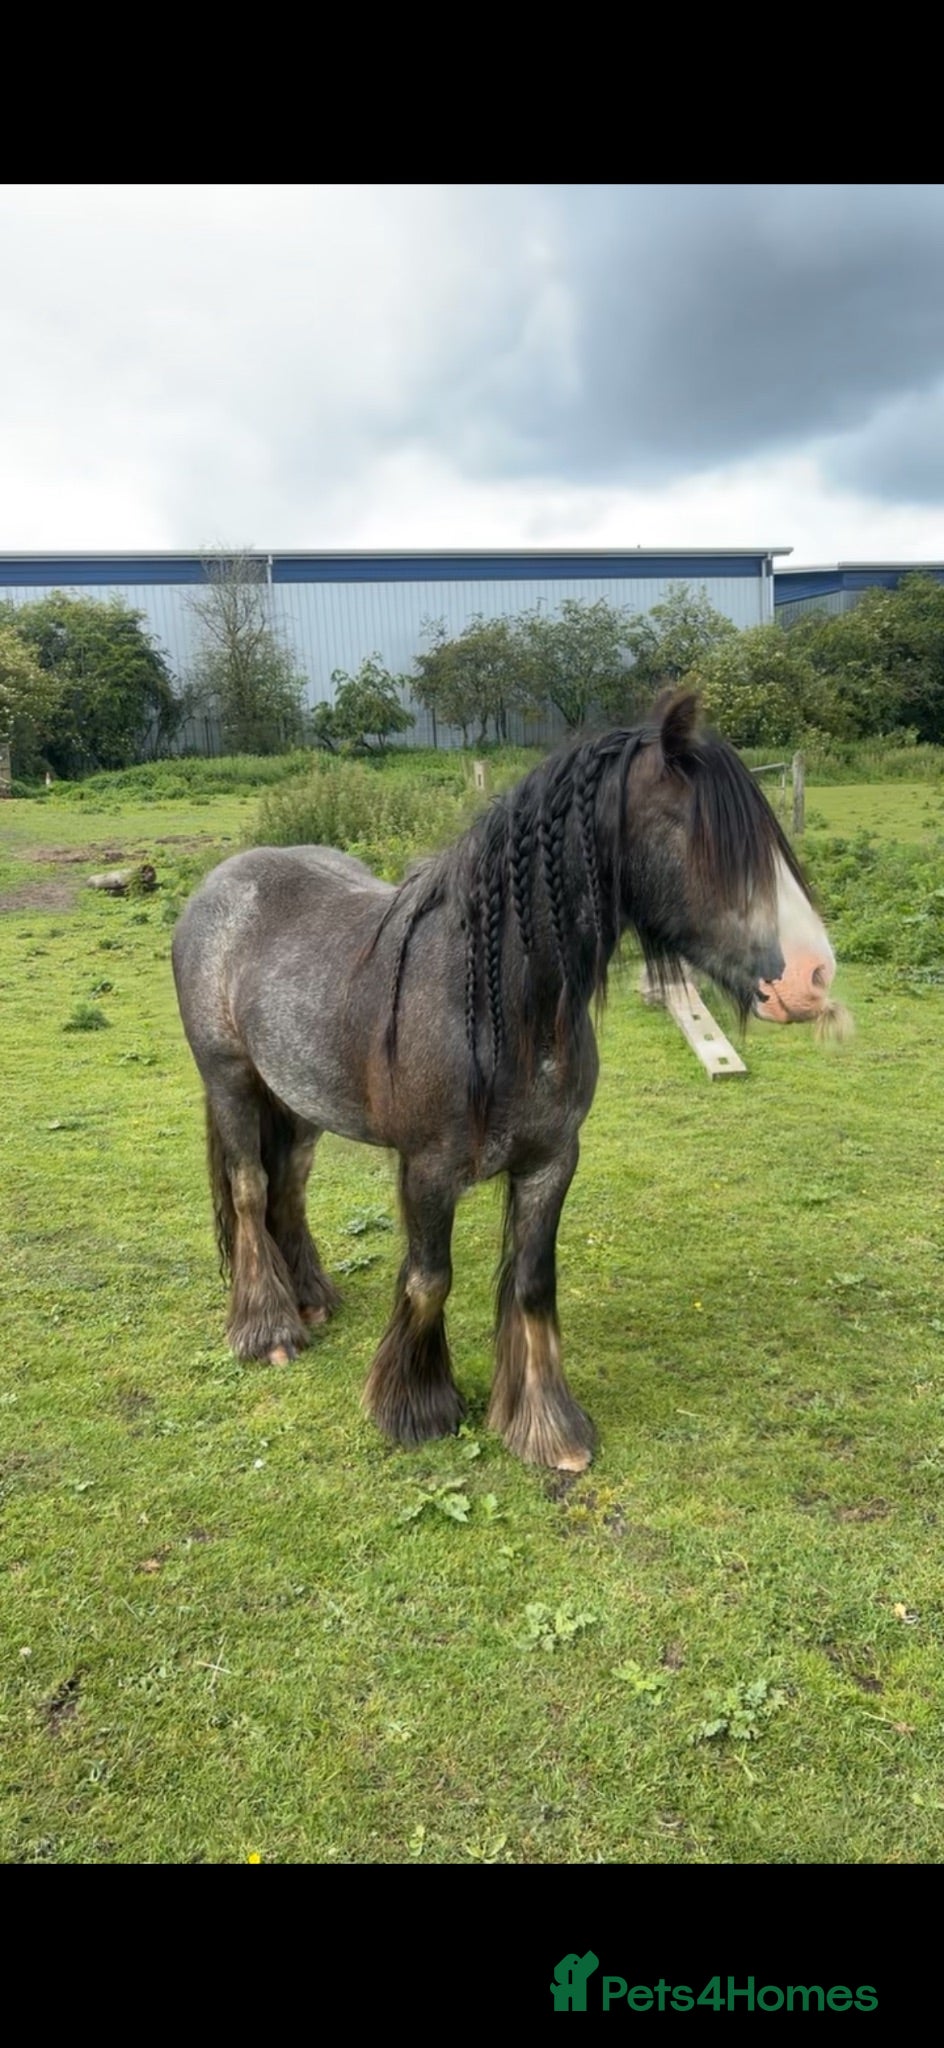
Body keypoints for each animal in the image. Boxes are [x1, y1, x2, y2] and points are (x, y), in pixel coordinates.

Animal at [171, 689, 843, 1472]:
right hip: (230, 1080)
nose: (813, 977)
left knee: (291, 1183)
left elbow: (532, 1284)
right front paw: (414, 1408)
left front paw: (548, 1428)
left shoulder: (551, 1162)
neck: (498, 1006)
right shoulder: (428, 1170)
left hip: (298, 1098)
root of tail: (222, 882)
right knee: (250, 1187)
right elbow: (430, 1278)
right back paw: (269, 1330)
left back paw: (309, 1298)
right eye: (707, 839)